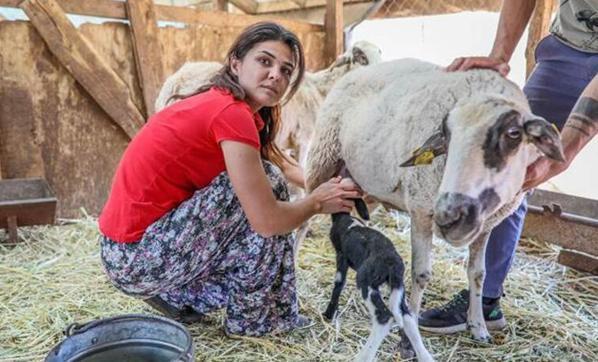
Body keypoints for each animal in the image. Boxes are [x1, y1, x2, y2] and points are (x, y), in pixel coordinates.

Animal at [308, 58, 564, 348]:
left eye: (513, 133)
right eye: (445, 135)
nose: (451, 217)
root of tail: (361, 70)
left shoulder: (485, 226)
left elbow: (478, 273)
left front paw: (478, 326)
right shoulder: (421, 211)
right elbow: (421, 274)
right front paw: (408, 337)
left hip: (366, 184)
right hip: (322, 159)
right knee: (303, 215)